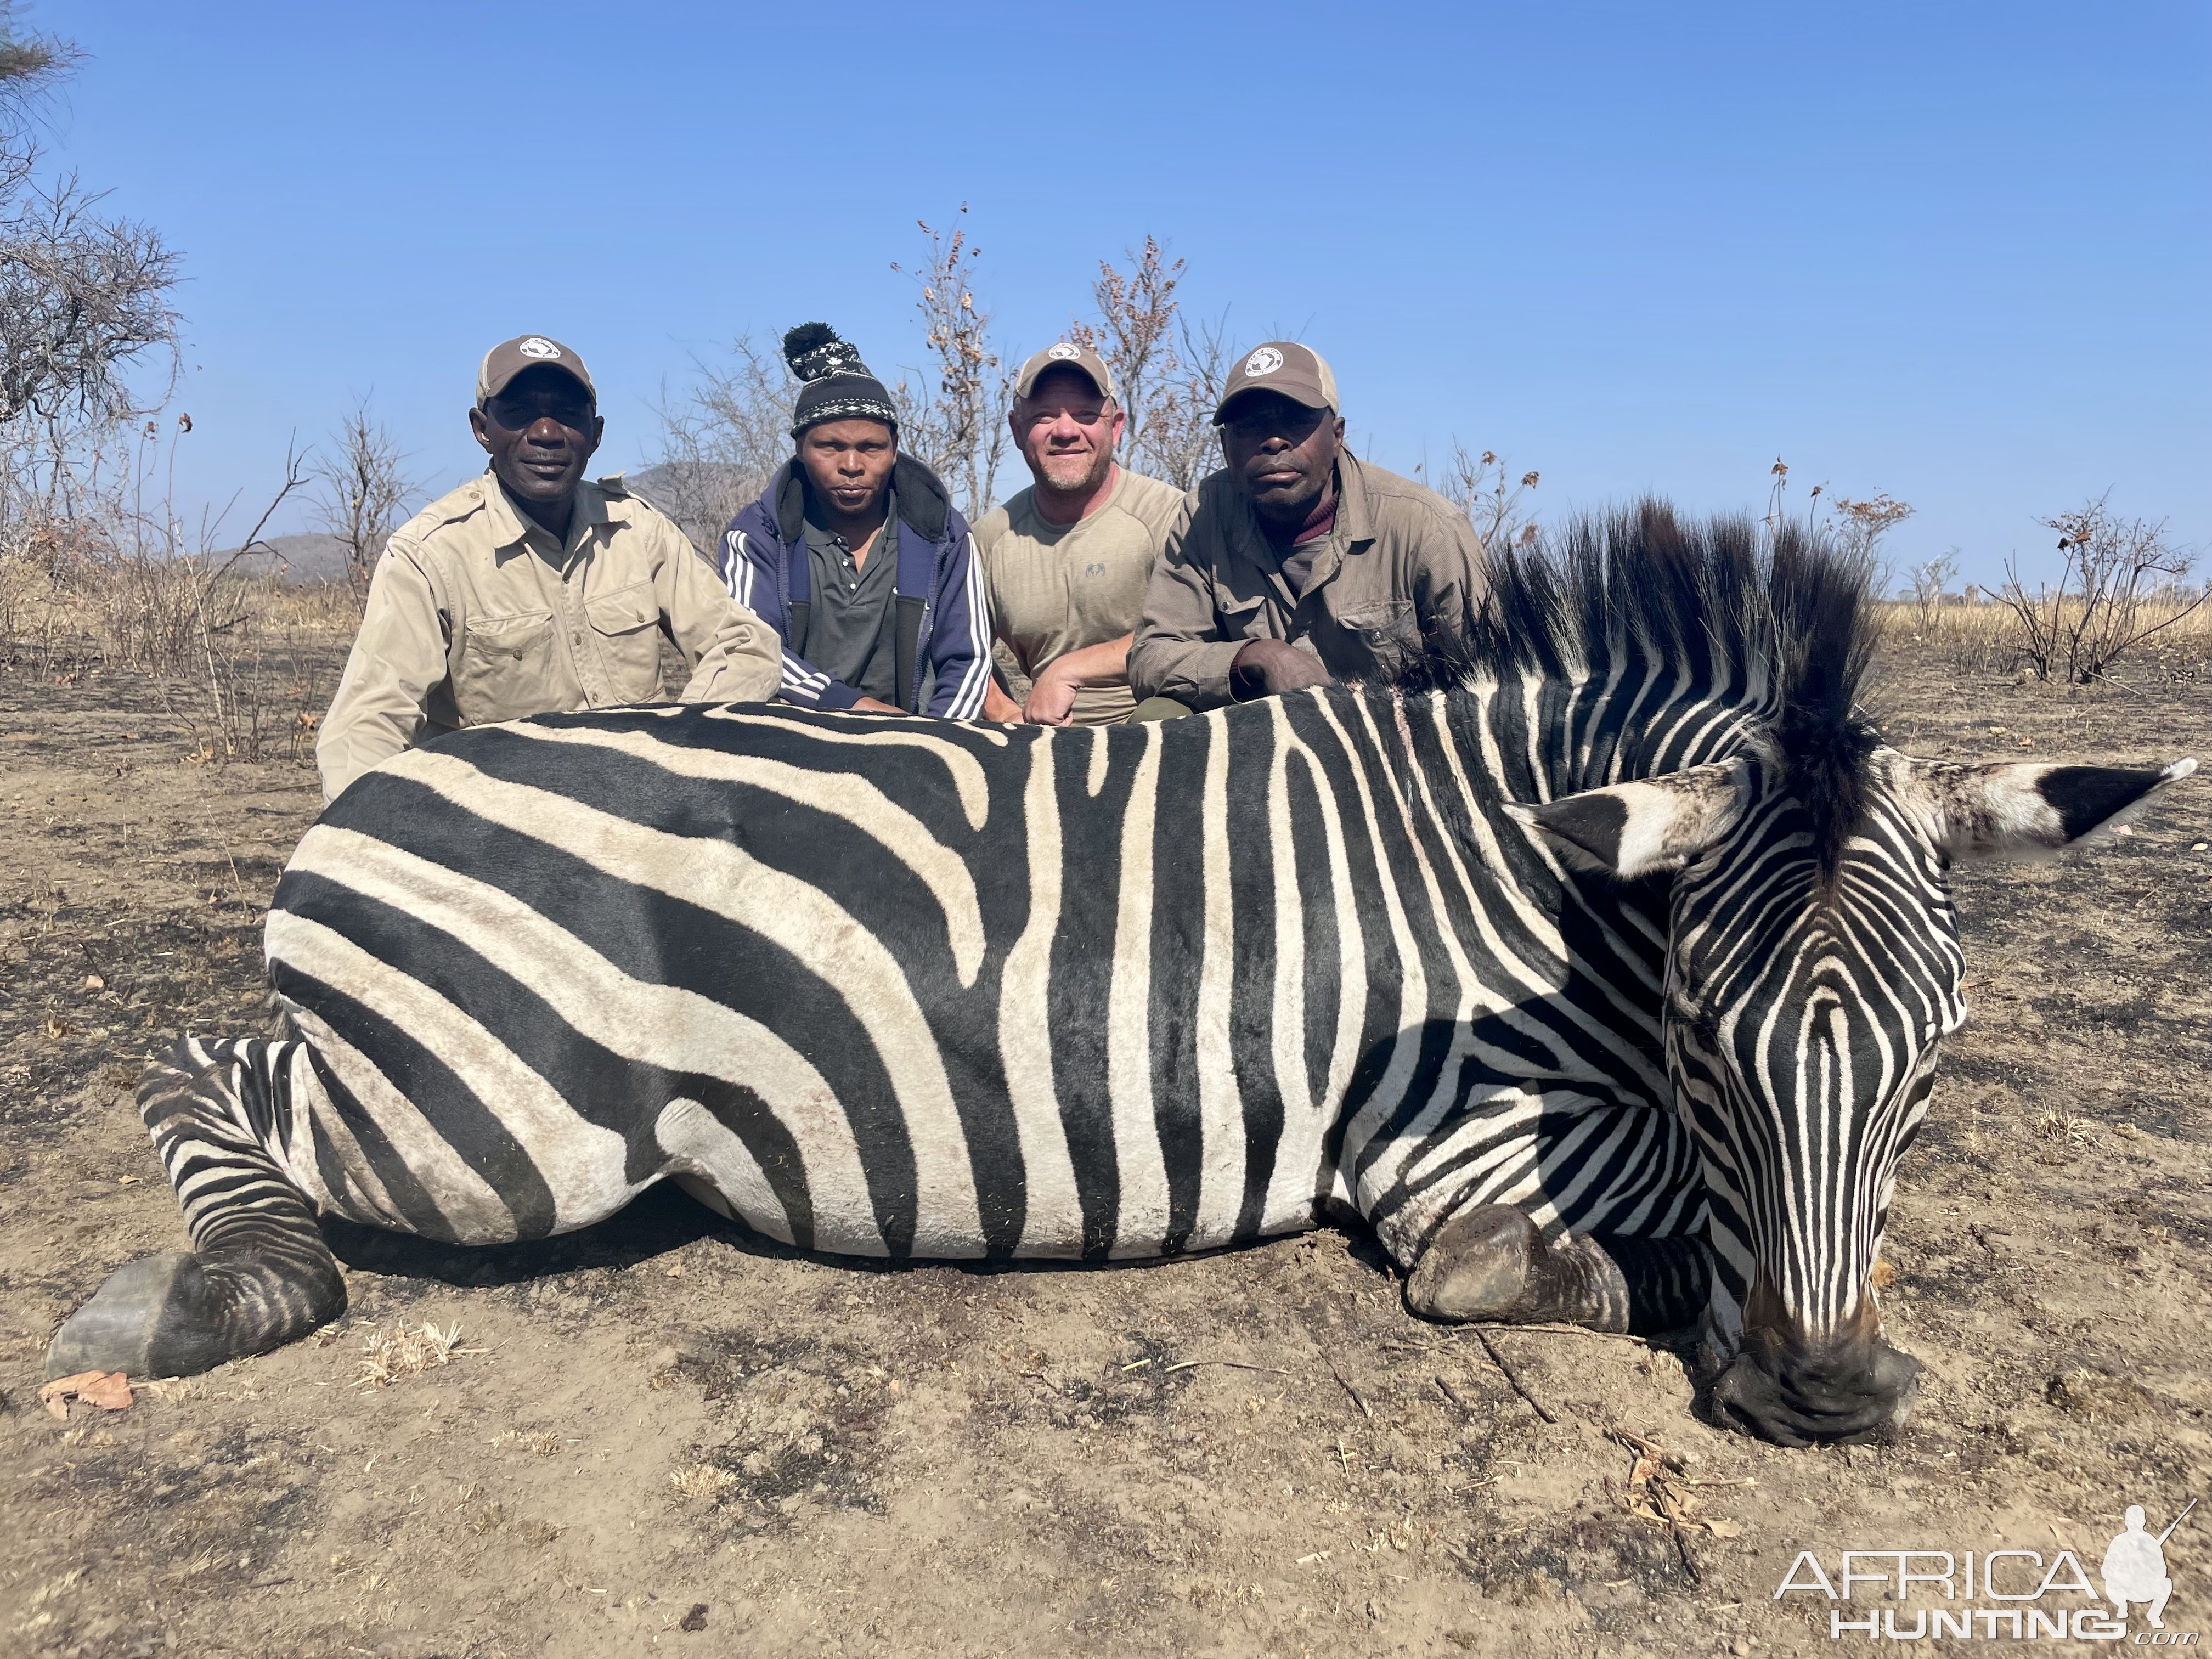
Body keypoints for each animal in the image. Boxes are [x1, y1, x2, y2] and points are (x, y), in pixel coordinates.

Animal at [52, 500, 2194, 1451]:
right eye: (1707, 1042)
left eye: (1939, 1059)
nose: (1828, 1397)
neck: (1542, 874)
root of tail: (376, 784)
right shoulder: (1447, 1146)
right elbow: (1564, 1256)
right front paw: (1703, 1301)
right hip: (492, 1130)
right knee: (193, 1057)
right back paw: (198, 1295)